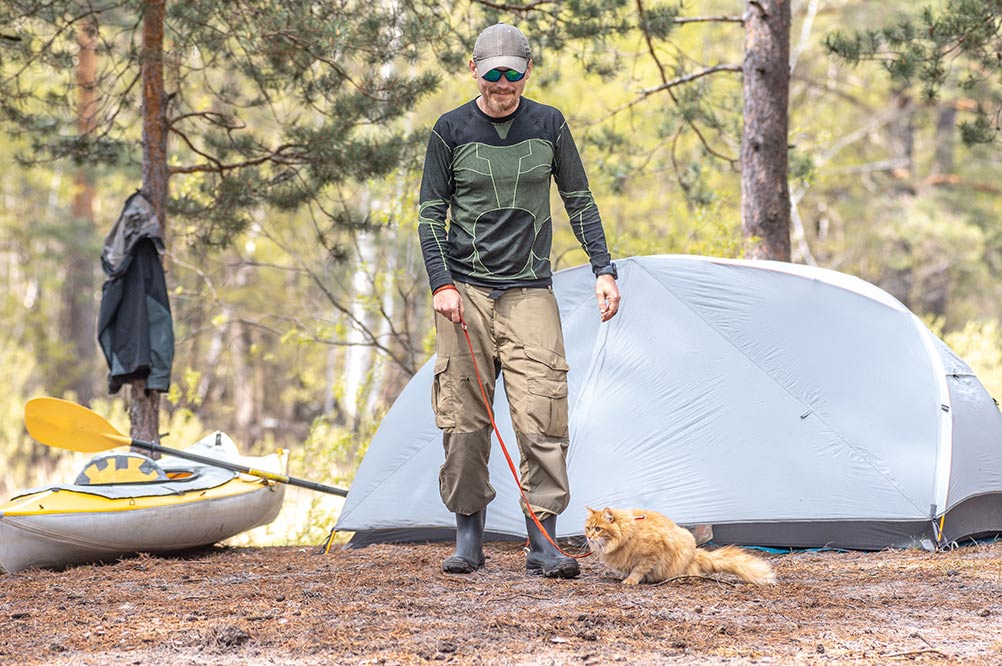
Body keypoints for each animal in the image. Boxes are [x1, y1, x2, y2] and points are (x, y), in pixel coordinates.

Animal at [585, 506, 773, 584]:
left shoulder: (652, 553)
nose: (588, 536)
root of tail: (696, 554)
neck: (629, 535)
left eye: (598, 529)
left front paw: (631, 580)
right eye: (587, 528)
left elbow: (638, 569)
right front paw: (624, 576)